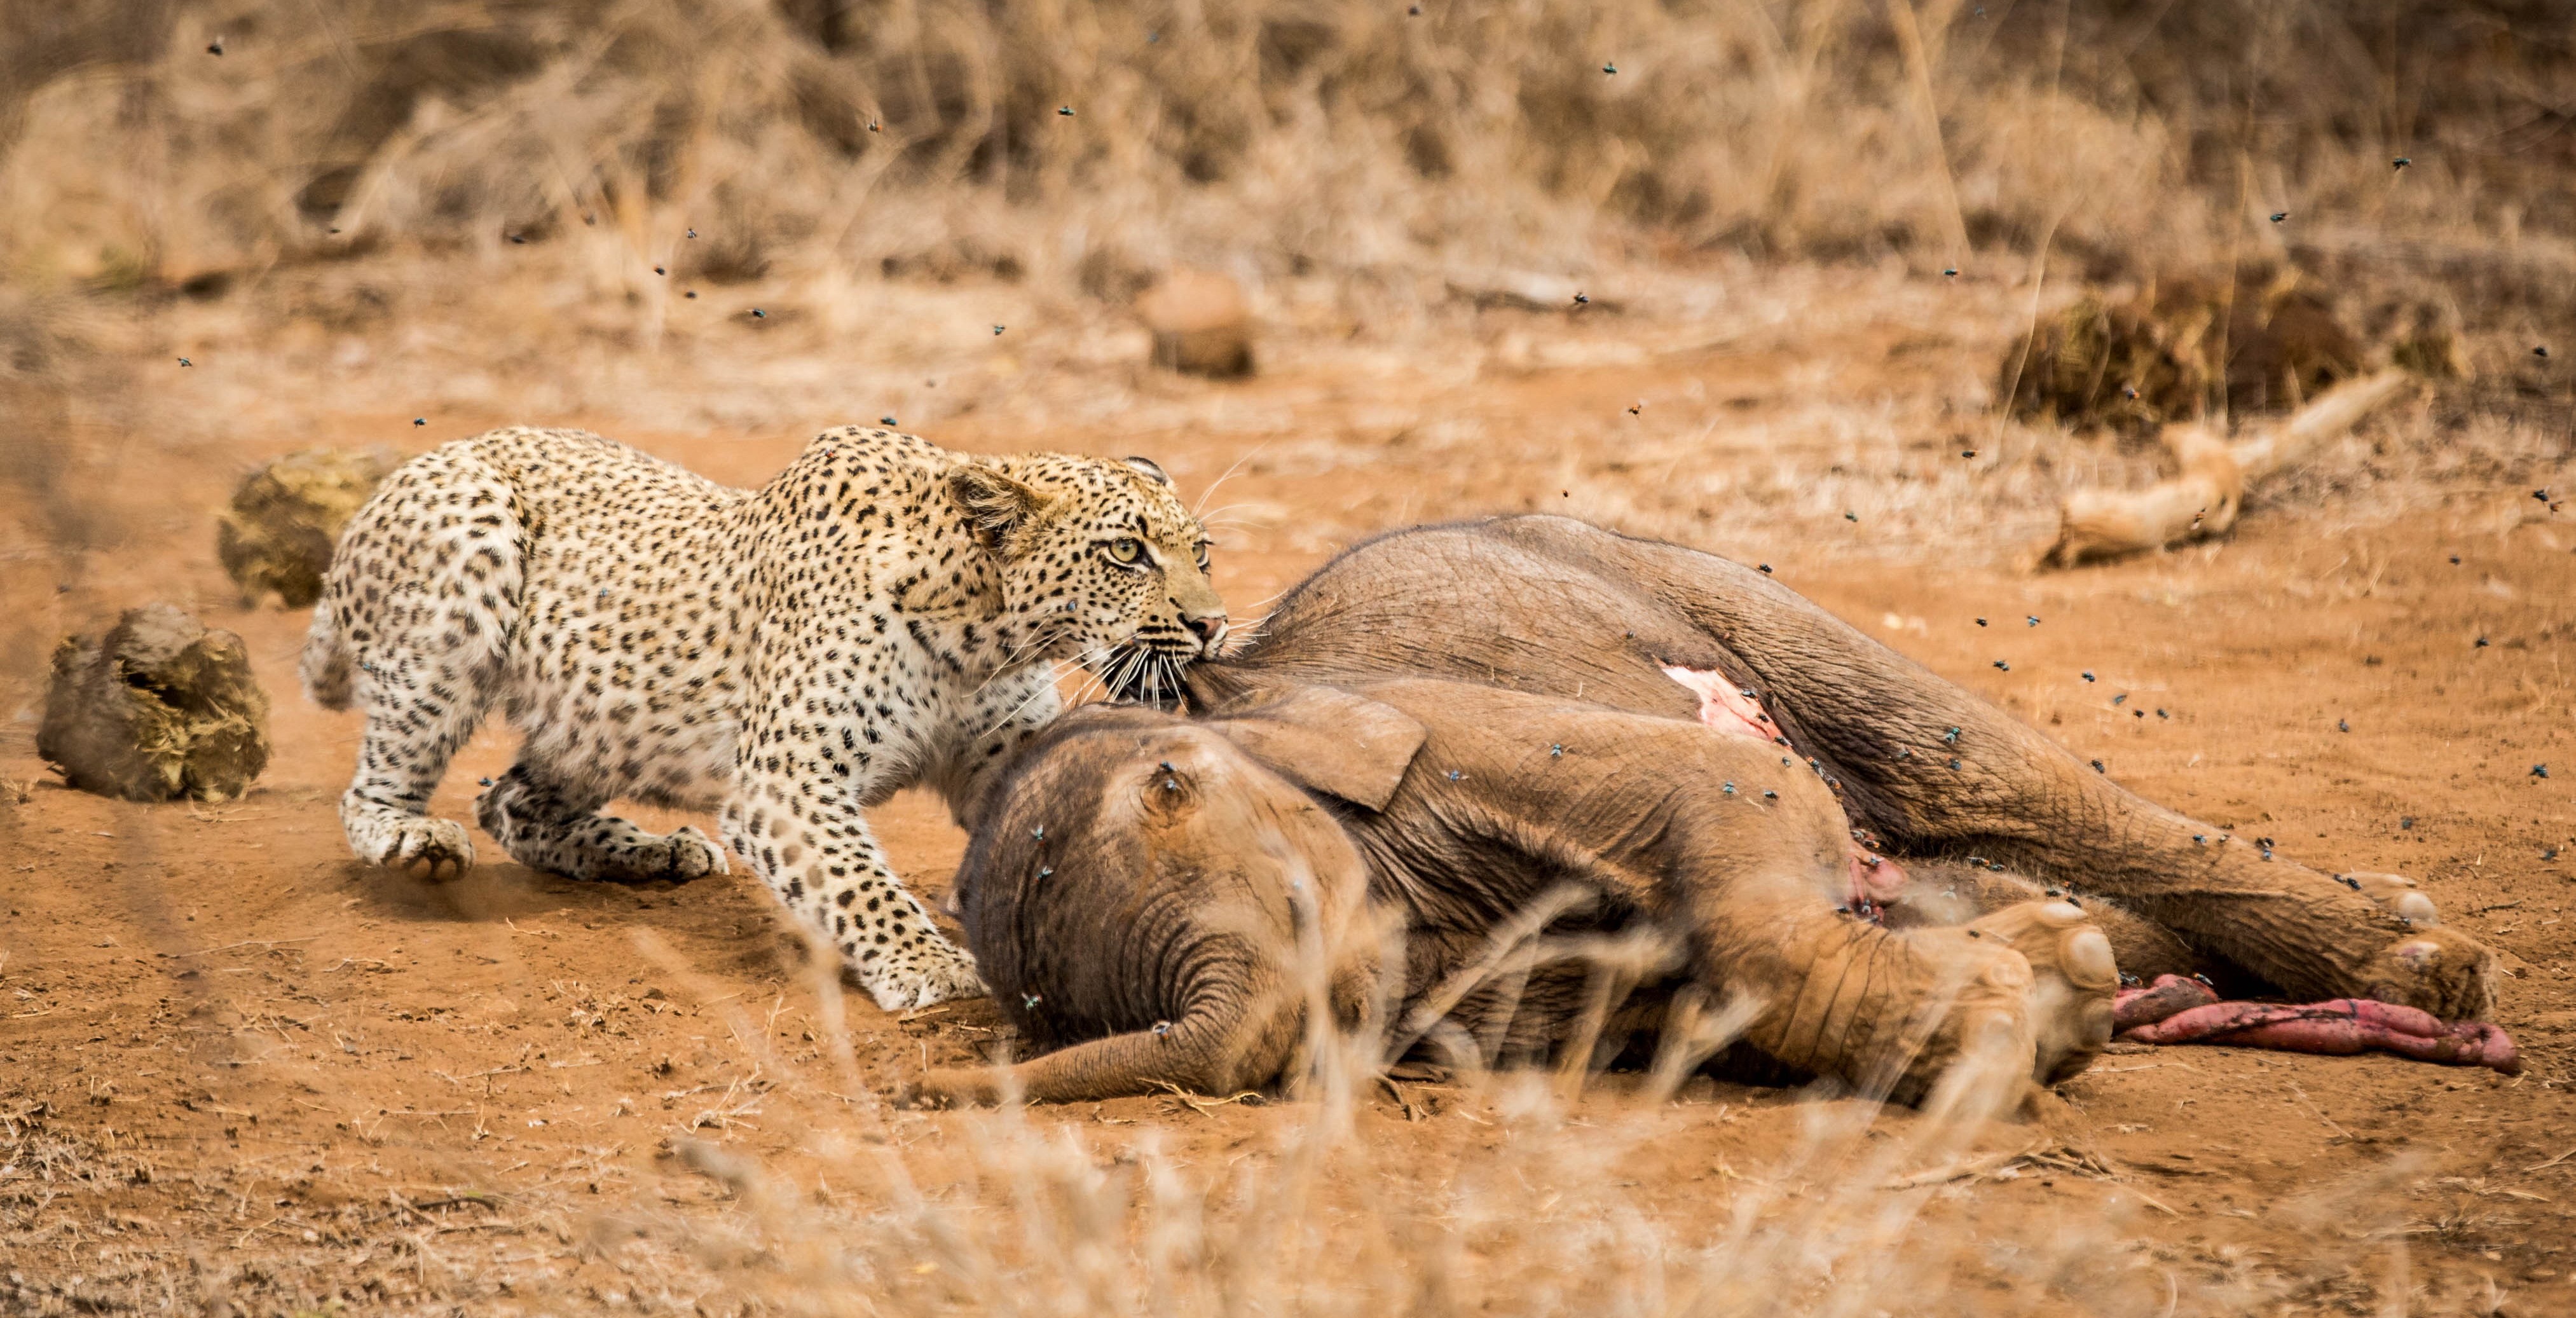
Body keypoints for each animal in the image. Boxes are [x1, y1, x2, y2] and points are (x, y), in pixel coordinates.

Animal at [298, 424, 1227, 1010]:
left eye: (1201, 551)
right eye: (1125, 552)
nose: (1212, 625)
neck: (982, 636)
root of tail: (406, 470)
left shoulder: (1006, 751)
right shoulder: (789, 777)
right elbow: (859, 882)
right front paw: (931, 966)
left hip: (606, 718)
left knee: (509, 798)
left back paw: (653, 851)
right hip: (461, 582)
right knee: (379, 787)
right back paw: (414, 840)